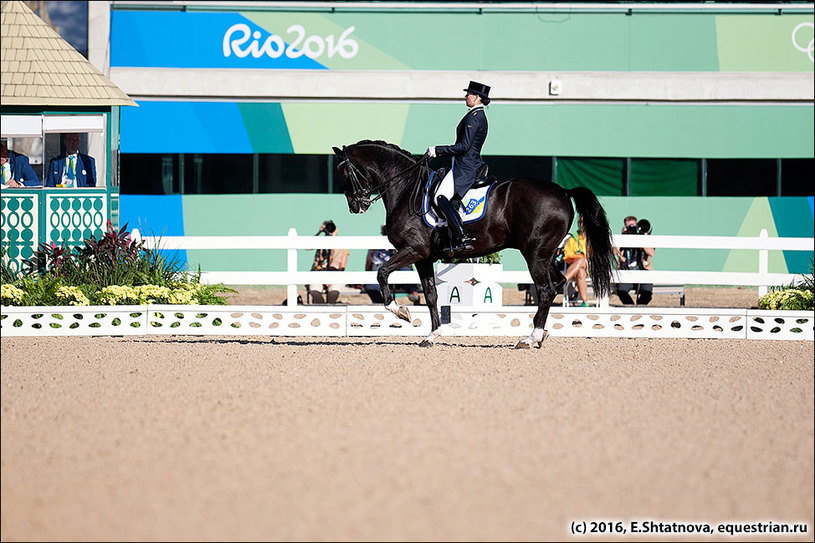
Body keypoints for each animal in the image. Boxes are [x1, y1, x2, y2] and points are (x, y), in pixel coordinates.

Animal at [332, 140, 612, 350]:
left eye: (344, 173)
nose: (356, 206)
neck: (406, 189)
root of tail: (564, 191)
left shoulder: (414, 250)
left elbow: (382, 273)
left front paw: (401, 312)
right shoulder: (423, 257)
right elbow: (431, 295)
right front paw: (431, 335)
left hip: (535, 255)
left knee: (545, 290)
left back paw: (529, 338)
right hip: (545, 254)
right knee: (558, 283)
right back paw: (540, 335)